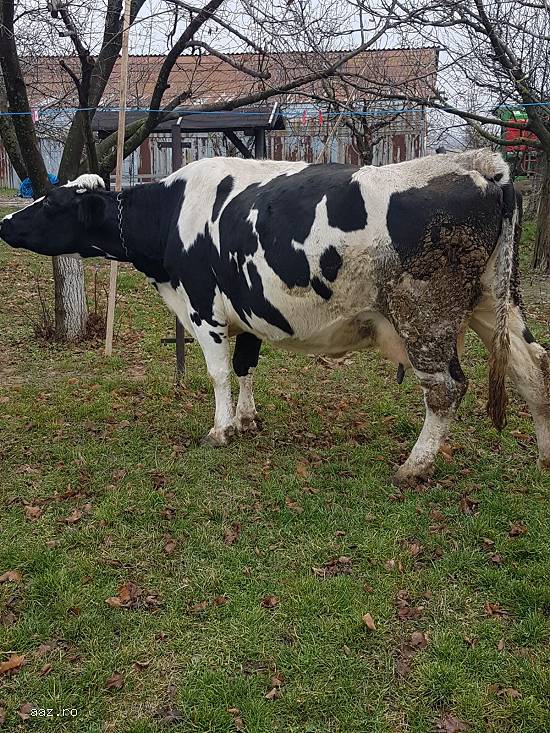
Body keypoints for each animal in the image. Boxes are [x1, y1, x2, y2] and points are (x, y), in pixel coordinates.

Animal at [1, 150, 549, 483]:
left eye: (52, 202)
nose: (5, 222)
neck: (172, 215)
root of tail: (481, 166)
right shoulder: (249, 308)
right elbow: (245, 366)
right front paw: (246, 419)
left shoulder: (203, 307)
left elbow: (219, 373)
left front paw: (220, 429)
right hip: (496, 301)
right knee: (534, 370)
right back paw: (544, 456)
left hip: (426, 316)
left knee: (447, 388)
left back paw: (414, 466)